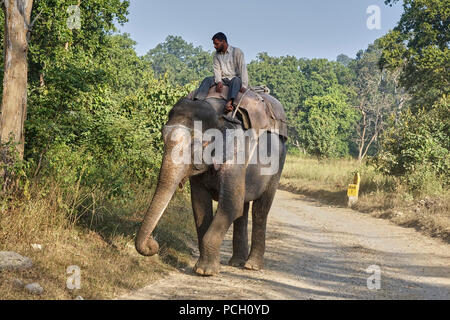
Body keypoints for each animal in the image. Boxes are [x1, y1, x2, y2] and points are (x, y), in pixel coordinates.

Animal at [135, 95, 286, 276]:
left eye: (195, 143)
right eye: (163, 138)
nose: (153, 243)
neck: (219, 115)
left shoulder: (236, 158)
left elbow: (230, 205)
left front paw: (205, 271)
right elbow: (200, 205)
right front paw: (202, 268)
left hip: (277, 168)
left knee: (260, 210)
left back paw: (252, 266)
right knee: (243, 209)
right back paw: (236, 262)